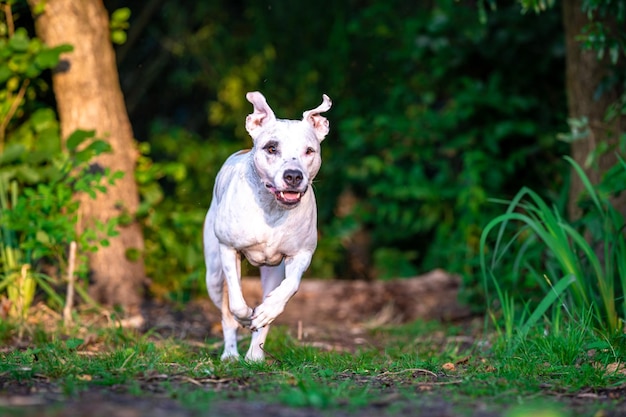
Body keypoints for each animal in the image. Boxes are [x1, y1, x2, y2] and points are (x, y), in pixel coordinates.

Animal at [204, 91, 332, 360]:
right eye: (271, 148)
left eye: (309, 151)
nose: (293, 175)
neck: (272, 210)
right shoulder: (228, 249)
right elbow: (236, 302)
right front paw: (244, 316)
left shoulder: (301, 254)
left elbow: (290, 286)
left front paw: (266, 311)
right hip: (213, 276)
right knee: (226, 313)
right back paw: (230, 354)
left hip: (271, 273)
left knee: (266, 312)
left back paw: (255, 354)